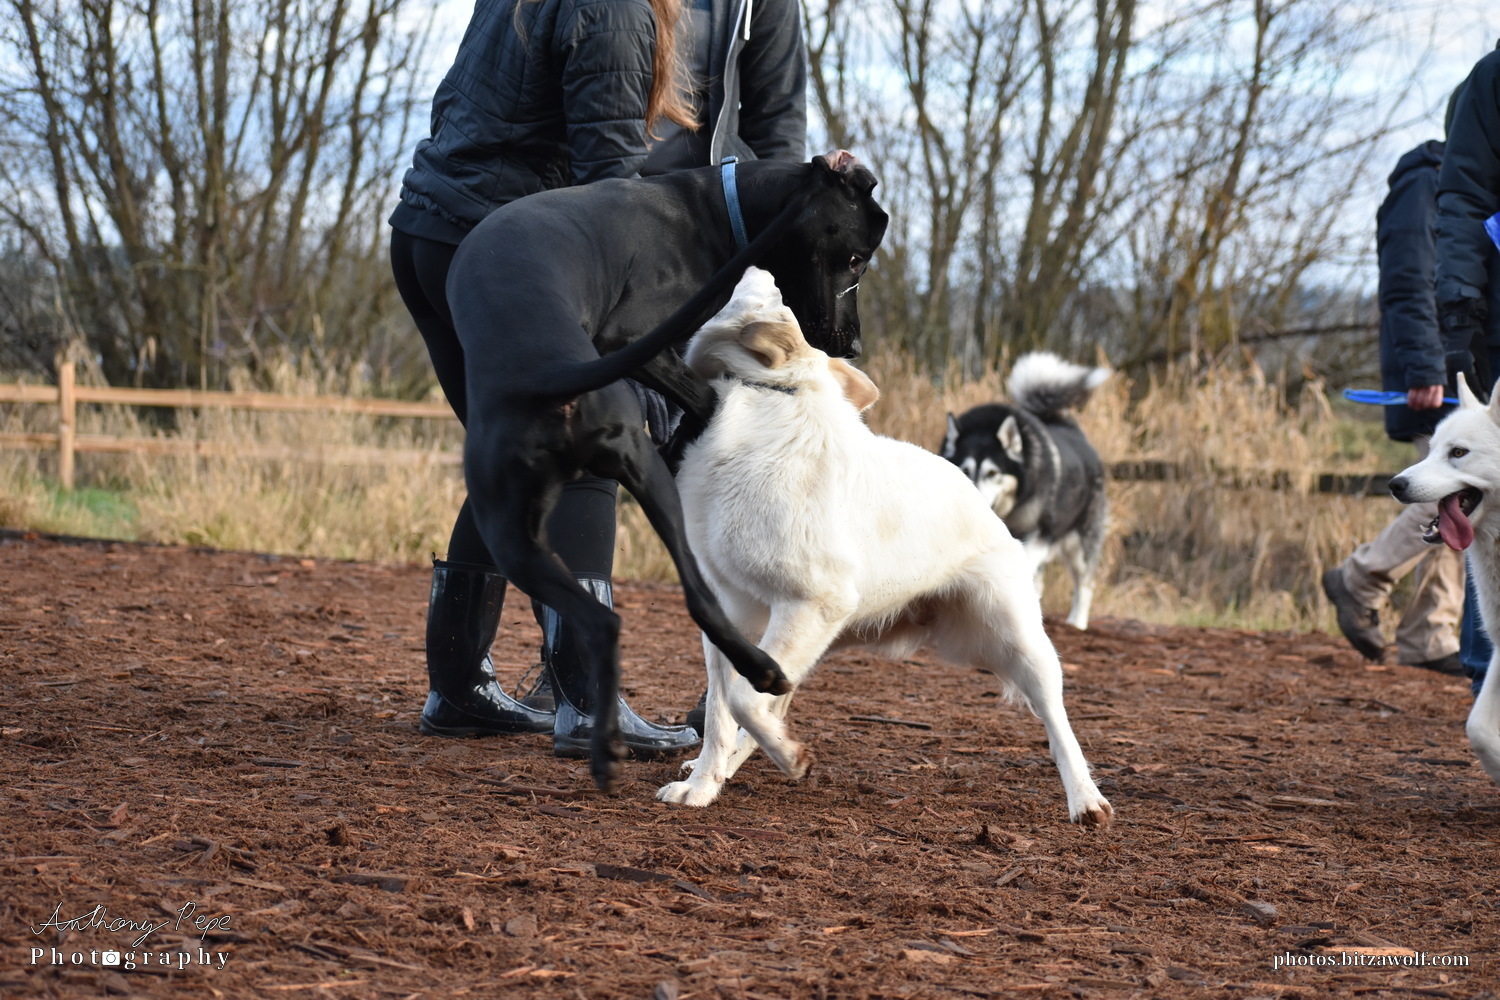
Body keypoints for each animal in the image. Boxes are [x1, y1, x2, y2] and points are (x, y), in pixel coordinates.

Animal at [445, 153, 889, 790]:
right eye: (856, 257)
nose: (850, 344)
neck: (718, 210)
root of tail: (543, 373)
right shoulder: (635, 336)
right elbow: (705, 391)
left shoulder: (637, 340)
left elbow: (703, 393)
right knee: (653, 609)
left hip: (532, 530)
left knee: (621, 617)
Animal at [940, 353, 1110, 630]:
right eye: (965, 470)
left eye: (992, 473)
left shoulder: (1035, 536)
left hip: (1080, 543)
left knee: (1085, 584)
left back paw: (1076, 623)